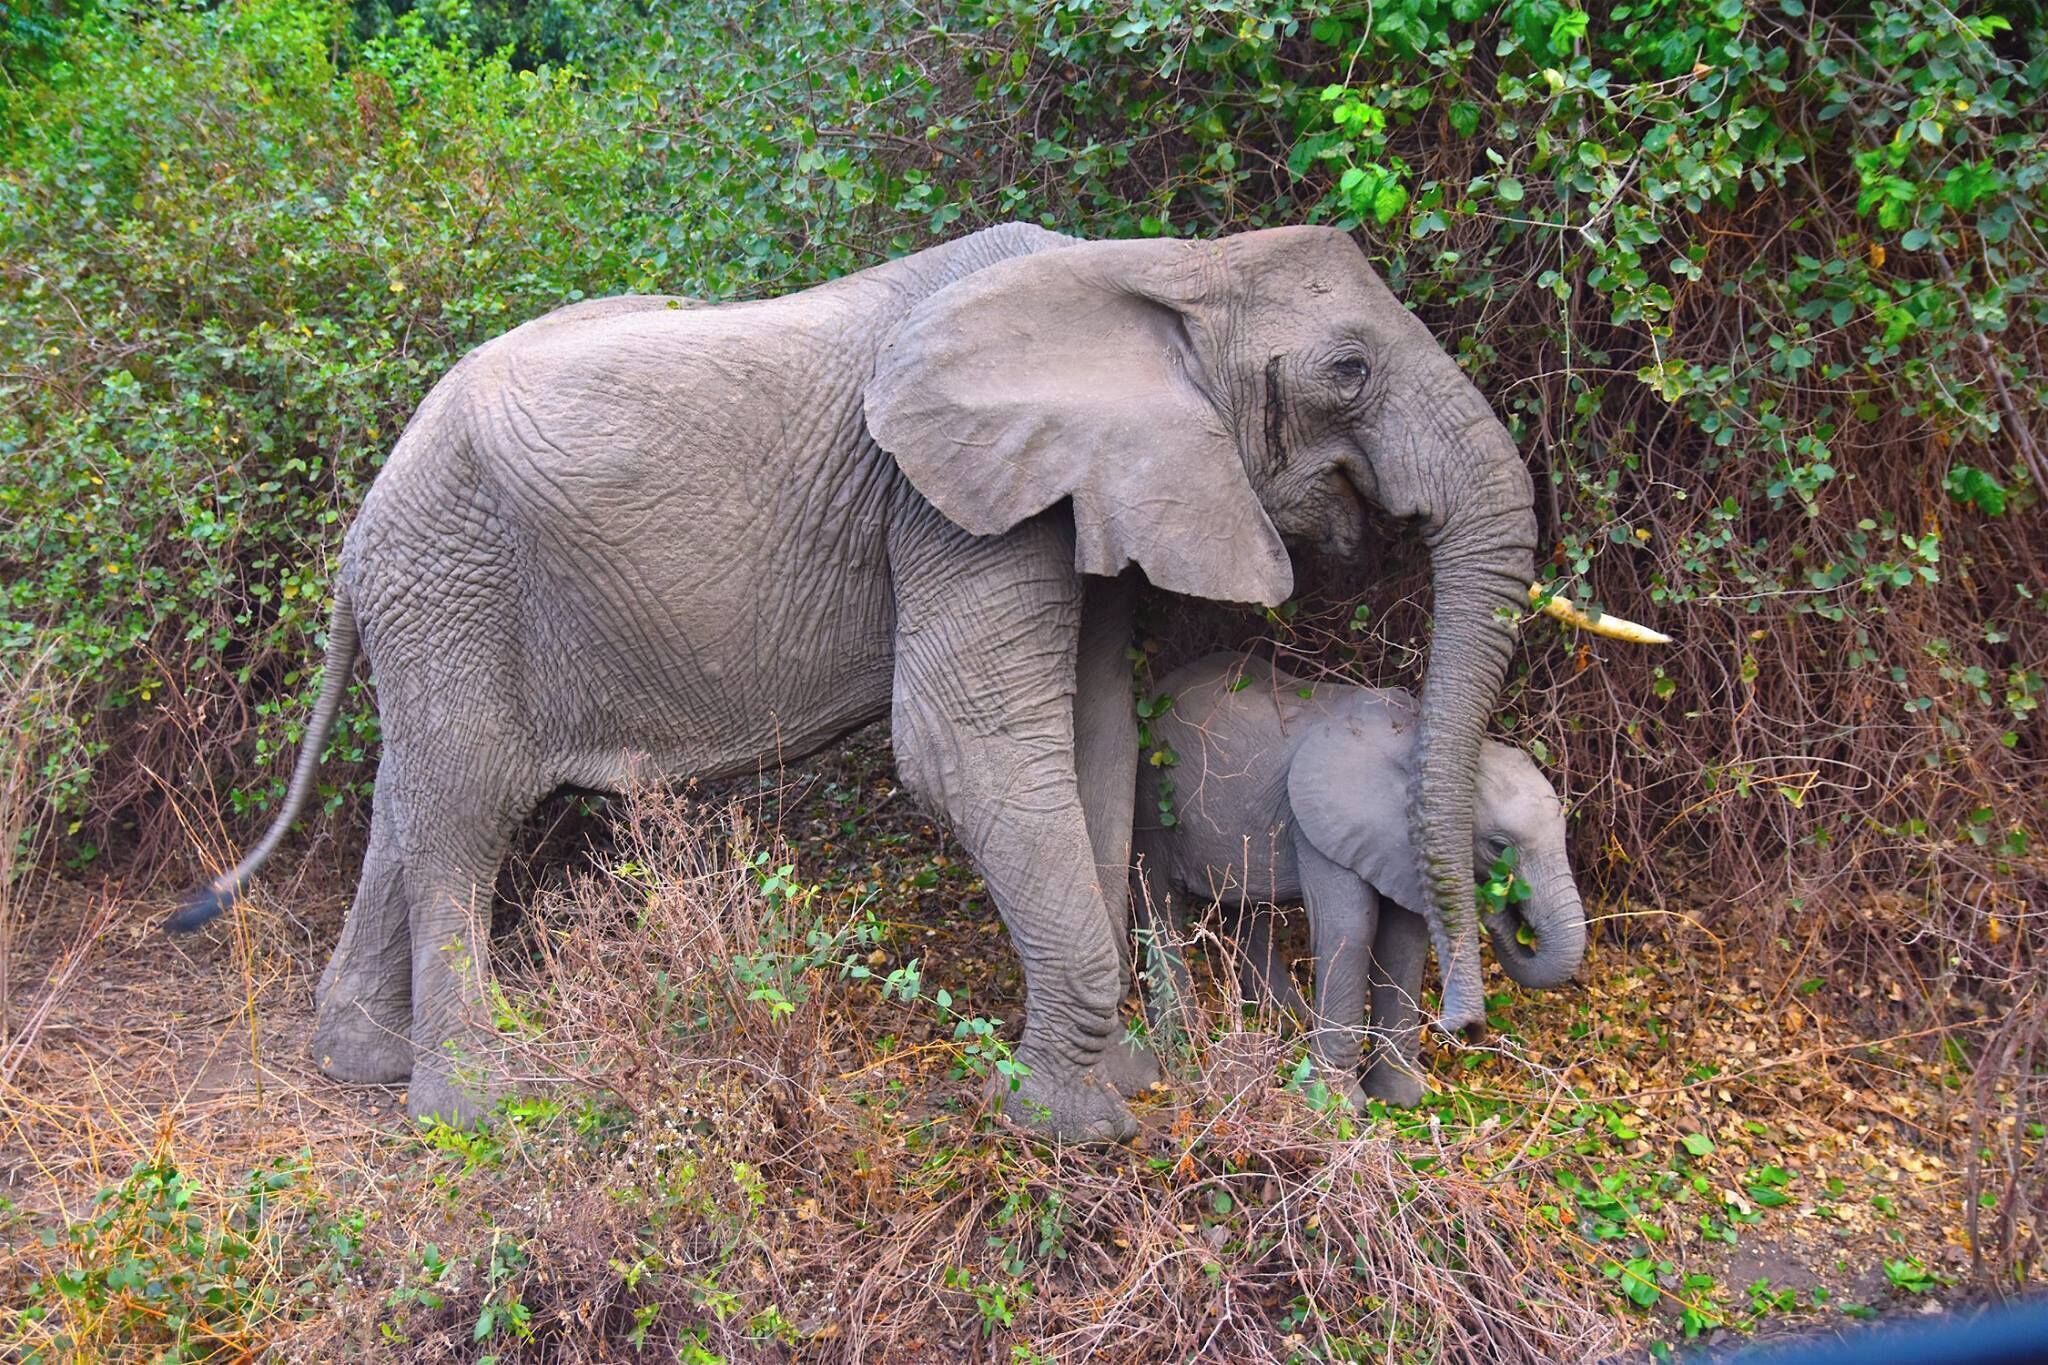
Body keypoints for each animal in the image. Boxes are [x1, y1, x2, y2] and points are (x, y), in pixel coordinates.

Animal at [1131, 652, 1586, 1108]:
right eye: (1497, 845)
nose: (1464, 1031)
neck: (1415, 746)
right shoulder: (1323, 824)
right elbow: (1350, 930)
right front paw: (1337, 1107)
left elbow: (1404, 943)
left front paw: (1404, 1098)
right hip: (1153, 792)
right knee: (1158, 893)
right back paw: (1184, 1033)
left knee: (1246, 905)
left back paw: (1283, 1019)